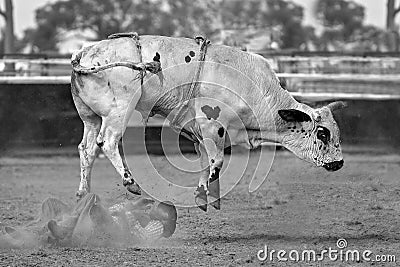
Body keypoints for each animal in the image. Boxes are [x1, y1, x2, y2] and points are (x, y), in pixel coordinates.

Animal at [69, 32, 344, 213]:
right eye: (323, 133)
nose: (340, 163)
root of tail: (83, 54)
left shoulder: (201, 132)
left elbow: (205, 160)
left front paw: (205, 195)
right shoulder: (213, 125)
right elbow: (216, 162)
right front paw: (206, 191)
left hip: (90, 117)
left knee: (87, 149)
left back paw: (84, 194)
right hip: (119, 110)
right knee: (108, 142)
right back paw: (130, 183)